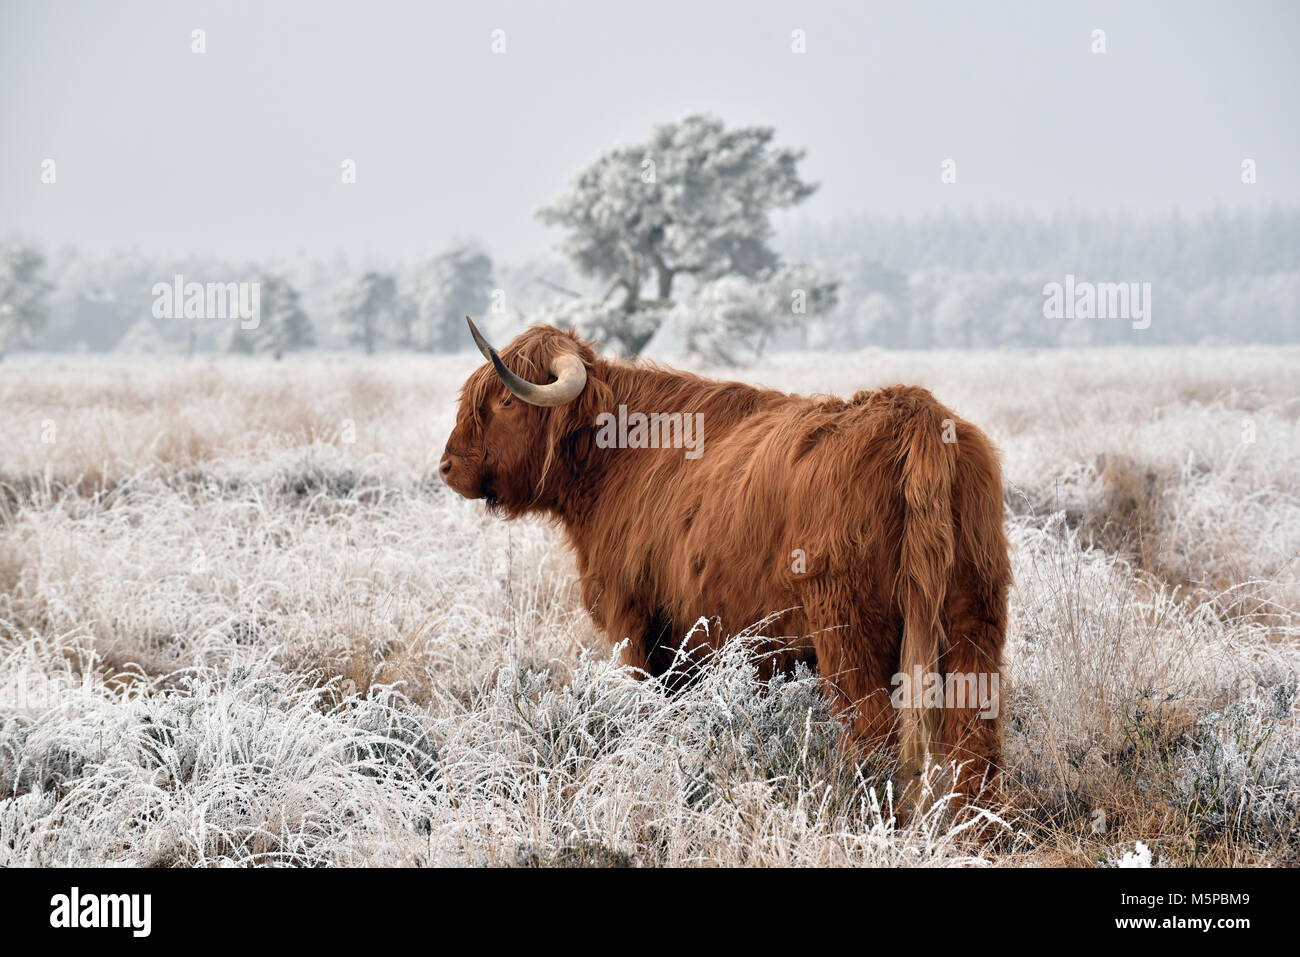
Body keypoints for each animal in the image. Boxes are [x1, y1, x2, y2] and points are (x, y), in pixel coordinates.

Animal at [441, 319, 1008, 800]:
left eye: (504, 402)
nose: (447, 466)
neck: (616, 456)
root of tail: (914, 412)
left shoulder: (642, 624)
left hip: (850, 631)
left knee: (873, 733)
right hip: (973, 621)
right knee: (973, 740)